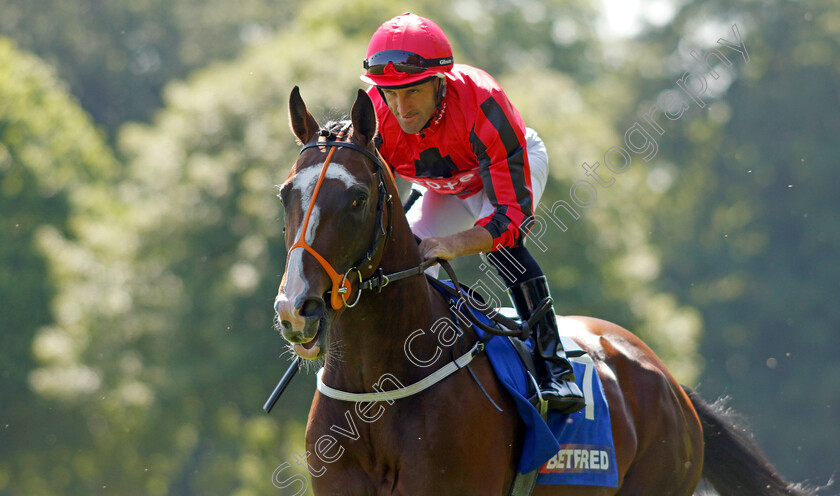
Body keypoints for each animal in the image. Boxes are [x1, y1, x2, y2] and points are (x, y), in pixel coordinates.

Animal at [276, 87, 812, 494]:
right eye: (285, 194)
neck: (378, 390)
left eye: (357, 198)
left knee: (509, 245)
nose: (297, 308)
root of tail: (670, 382)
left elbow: (508, 226)